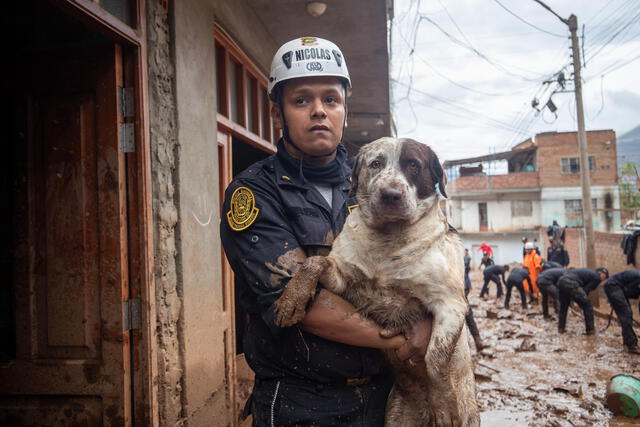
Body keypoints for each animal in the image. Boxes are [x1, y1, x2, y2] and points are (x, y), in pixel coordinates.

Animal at [276, 138, 480, 427]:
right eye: (376, 164)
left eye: (413, 165)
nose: (390, 194)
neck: (388, 242)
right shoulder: (342, 280)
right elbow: (314, 262)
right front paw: (291, 300)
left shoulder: (451, 305)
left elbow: (435, 359)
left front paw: (443, 404)